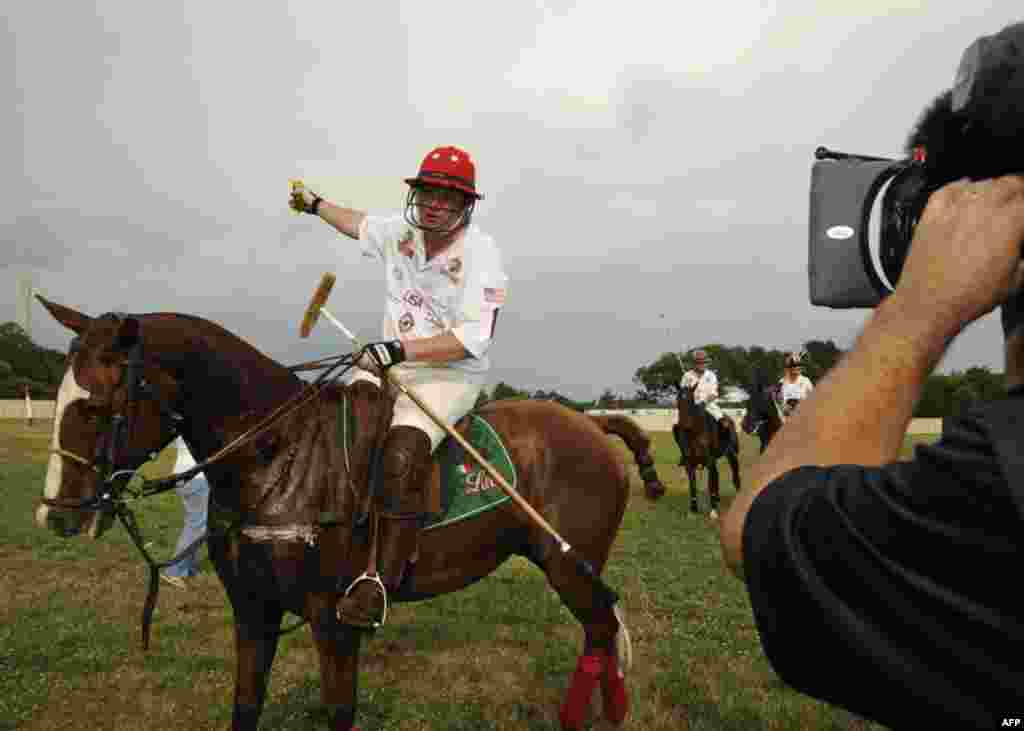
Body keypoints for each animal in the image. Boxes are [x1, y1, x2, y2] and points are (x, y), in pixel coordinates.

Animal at [34, 296, 663, 728]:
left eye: (97, 406)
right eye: (60, 396)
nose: (56, 514)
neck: (277, 456)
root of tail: (593, 424)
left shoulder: (334, 620)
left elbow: (339, 709)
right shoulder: (253, 611)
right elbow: (245, 705)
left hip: (570, 564)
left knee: (603, 630)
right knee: (602, 636)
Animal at [667, 378, 741, 516]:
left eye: (691, 401)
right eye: (678, 401)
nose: (685, 426)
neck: (694, 432)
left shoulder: (709, 461)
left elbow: (710, 483)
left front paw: (713, 511)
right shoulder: (690, 463)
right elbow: (693, 485)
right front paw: (693, 509)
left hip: (731, 454)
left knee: (734, 473)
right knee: (717, 476)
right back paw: (717, 499)